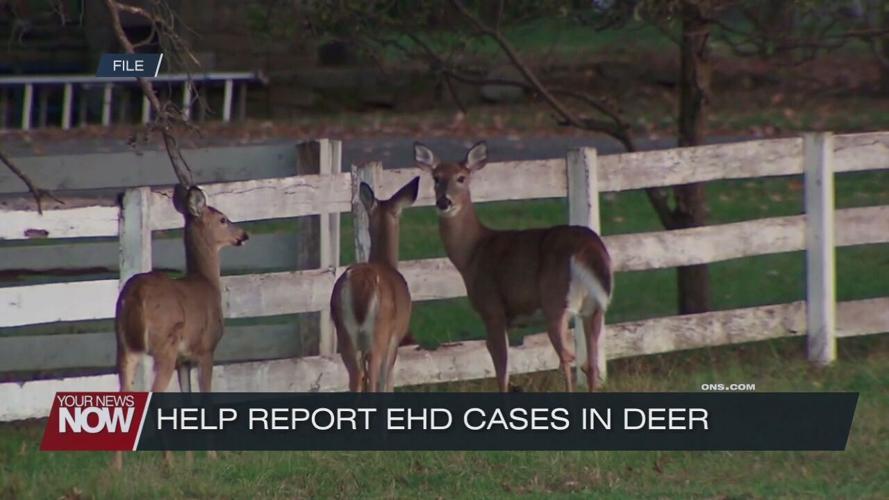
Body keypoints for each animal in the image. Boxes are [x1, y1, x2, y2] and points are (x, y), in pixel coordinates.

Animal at [112, 185, 248, 469]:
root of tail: (135, 295)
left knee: (122, 395)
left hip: (123, 344)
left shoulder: (183, 361)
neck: (207, 283)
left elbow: (188, 402)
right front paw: (211, 455)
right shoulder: (206, 350)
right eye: (223, 219)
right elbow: (205, 399)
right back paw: (168, 461)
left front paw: (190, 458)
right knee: (153, 394)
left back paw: (118, 467)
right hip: (164, 344)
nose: (244, 234)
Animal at [330, 175, 420, 392]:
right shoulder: (394, 339)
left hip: (346, 335)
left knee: (356, 376)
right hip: (378, 333)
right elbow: (387, 380)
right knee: (371, 377)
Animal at [414, 141, 612, 393]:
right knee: (592, 364)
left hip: (556, 302)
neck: (473, 253)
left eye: (461, 178)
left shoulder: (492, 309)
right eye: (436, 177)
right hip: (593, 309)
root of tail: (588, 247)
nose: (443, 202)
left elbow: (502, 370)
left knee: (567, 357)